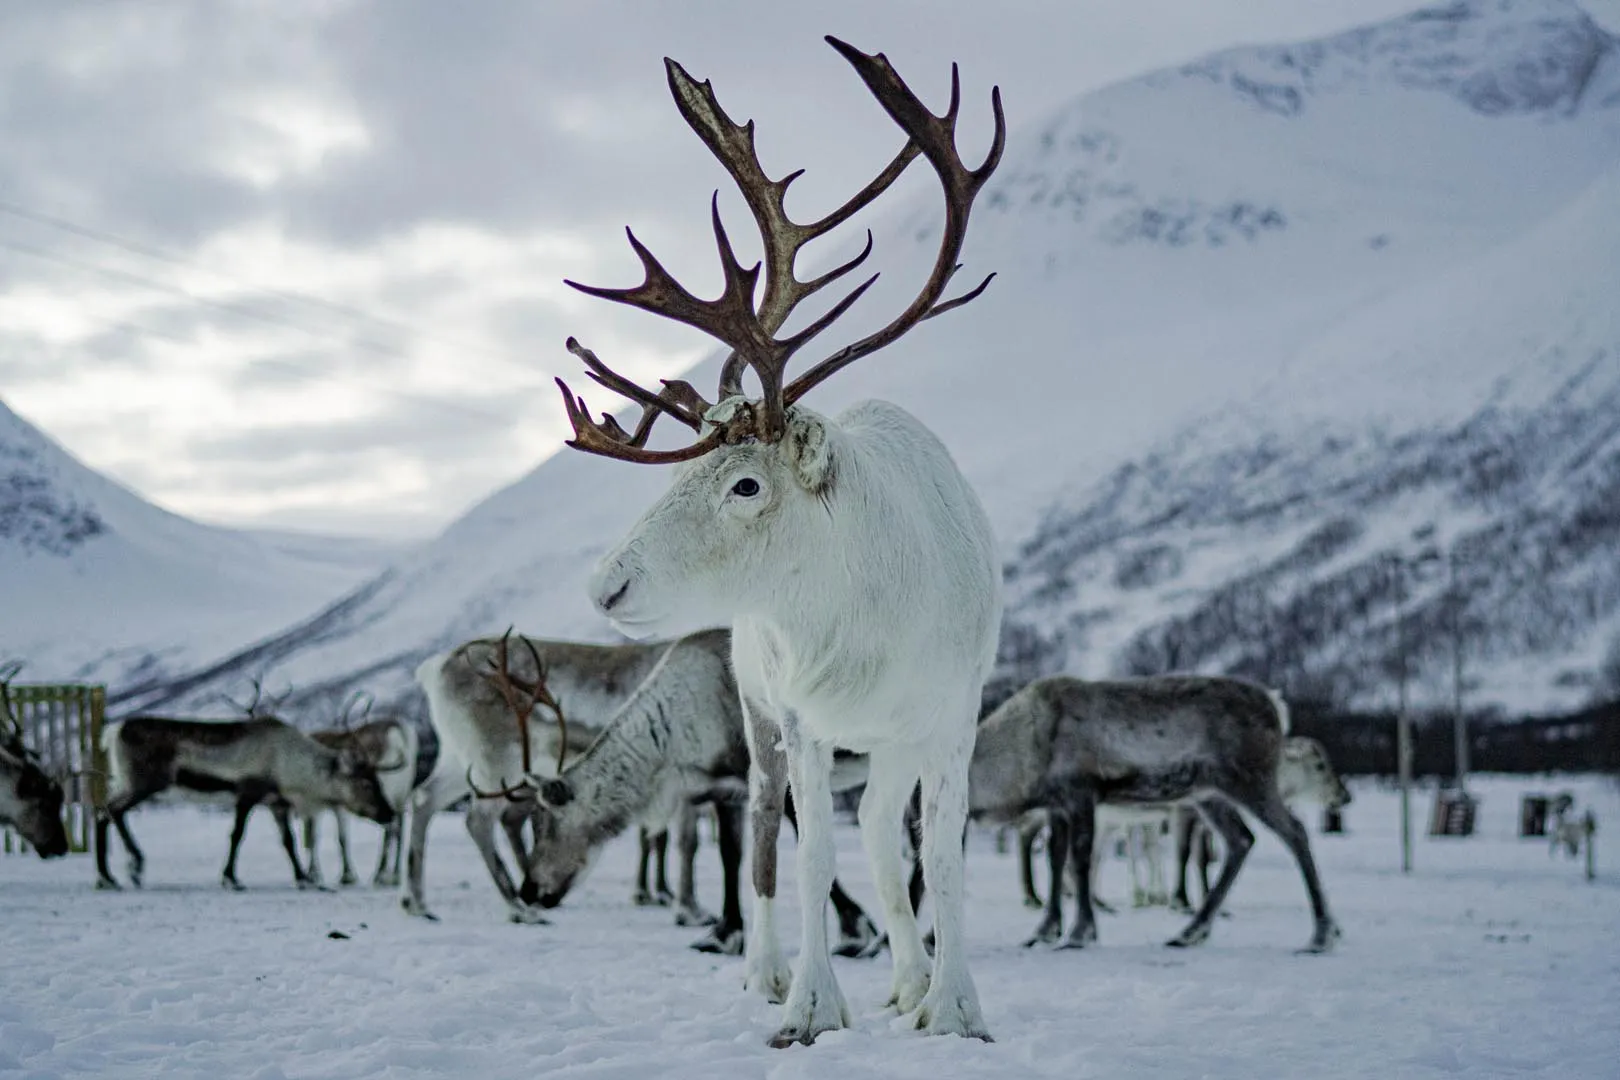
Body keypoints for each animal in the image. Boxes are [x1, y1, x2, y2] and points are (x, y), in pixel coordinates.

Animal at [94, 712, 397, 890]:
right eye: (367, 784)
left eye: (379, 782)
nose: (390, 813)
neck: (289, 763)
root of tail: (112, 730)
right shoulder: (247, 794)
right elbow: (237, 835)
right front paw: (230, 878)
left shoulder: (276, 803)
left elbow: (288, 841)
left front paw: (302, 878)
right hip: (142, 784)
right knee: (111, 811)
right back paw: (128, 869)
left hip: (126, 783)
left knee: (104, 813)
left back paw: (112, 876)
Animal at [299, 692, 420, 888]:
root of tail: (400, 732)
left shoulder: (332, 803)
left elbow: (331, 837)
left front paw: (343, 876)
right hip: (402, 792)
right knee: (400, 828)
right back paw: (394, 875)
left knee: (390, 828)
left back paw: (381, 875)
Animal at [551, 37, 1005, 1045]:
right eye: (674, 476)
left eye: (745, 483)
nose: (603, 586)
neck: (865, 620)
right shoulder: (801, 722)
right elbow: (808, 863)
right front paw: (808, 1008)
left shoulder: (952, 716)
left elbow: (943, 860)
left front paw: (954, 1005)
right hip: (762, 724)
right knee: (766, 835)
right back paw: (764, 968)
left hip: (891, 745)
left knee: (882, 836)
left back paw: (908, 981)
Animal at [967, 675, 1340, 954]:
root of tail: (1277, 707)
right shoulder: (1057, 805)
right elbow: (1056, 861)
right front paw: (1045, 930)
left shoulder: (1080, 794)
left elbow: (1080, 861)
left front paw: (1080, 932)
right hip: (1208, 793)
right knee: (1241, 840)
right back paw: (1190, 932)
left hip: (1250, 780)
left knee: (1295, 832)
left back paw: (1322, 934)